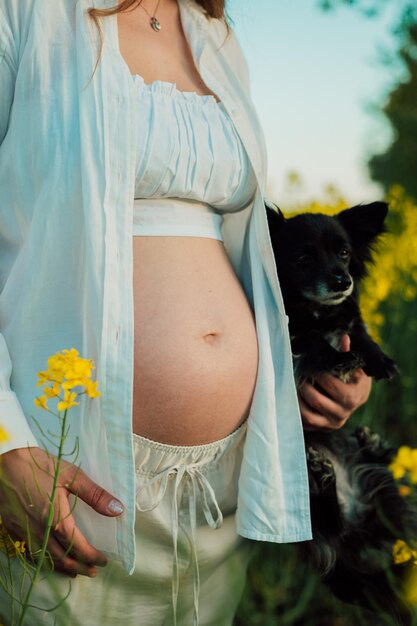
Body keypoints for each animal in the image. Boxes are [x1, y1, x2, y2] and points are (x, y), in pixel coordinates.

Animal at [264, 202, 414, 620]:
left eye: (345, 253)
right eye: (303, 258)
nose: (342, 280)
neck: (315, 311)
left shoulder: (347, 318)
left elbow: (357, 329)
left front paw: (378, 360)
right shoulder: (290, 336)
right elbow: (313, 342)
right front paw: (340, 359)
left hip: (384, 494)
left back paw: (372, 444)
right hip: (299, 504)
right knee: (325, 521)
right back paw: (325, 477)